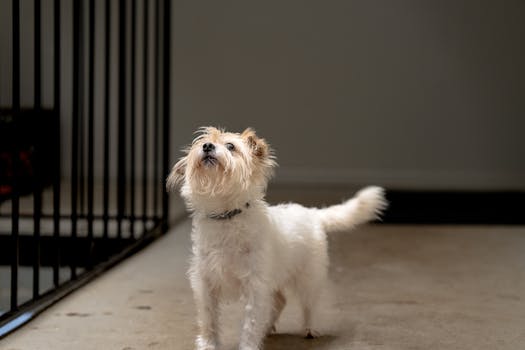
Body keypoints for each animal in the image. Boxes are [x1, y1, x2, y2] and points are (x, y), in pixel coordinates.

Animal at [166, 128, 386, 350]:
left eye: (230, 146)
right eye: (203, 142)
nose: (207, 146)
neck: (226, 215)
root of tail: (313, 213)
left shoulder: (255, 287)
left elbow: (250, 323)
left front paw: (248, 346)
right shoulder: (206, 284)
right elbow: (208, 319)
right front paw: (208, 345)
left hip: (308, 278)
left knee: (309, 305)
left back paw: (309, 328)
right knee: (279, 302)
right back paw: (267, 328)